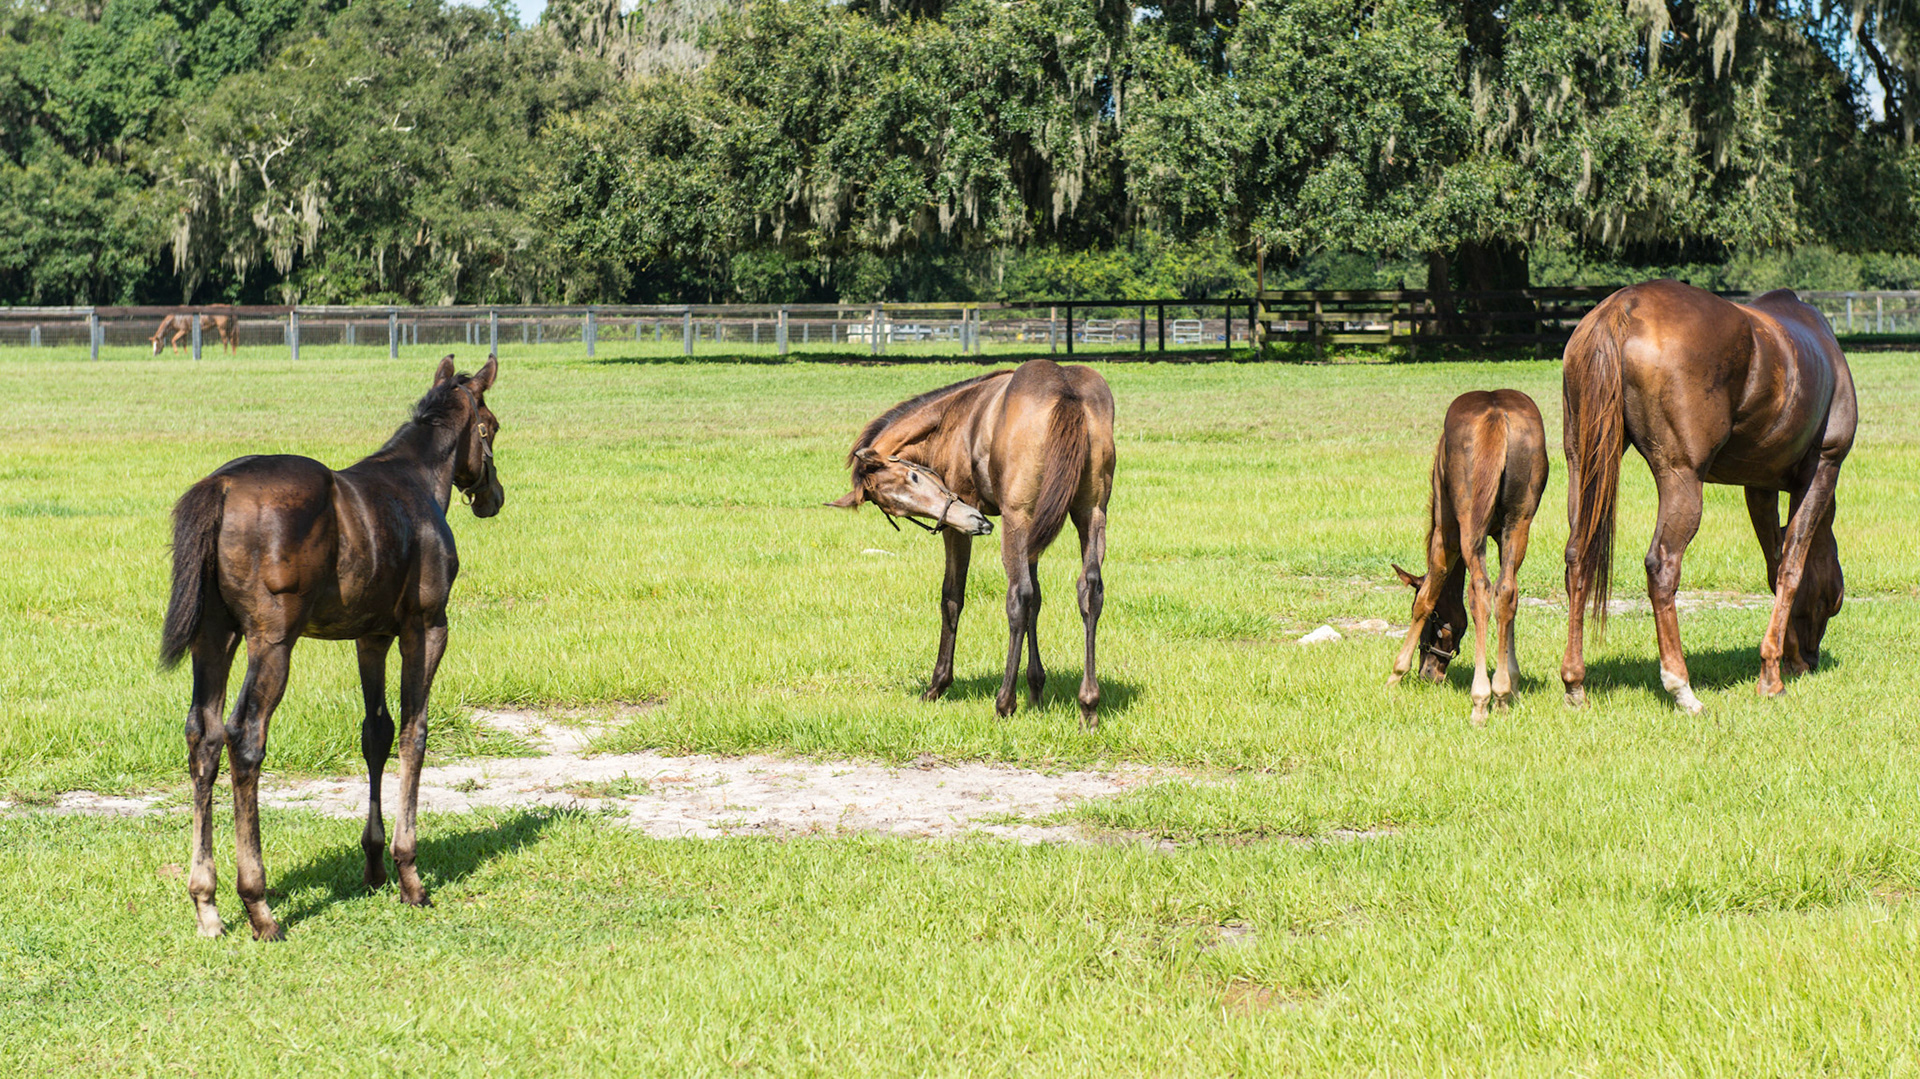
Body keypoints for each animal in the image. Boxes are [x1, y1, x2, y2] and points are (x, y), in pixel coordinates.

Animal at [159, 355, 503, 939]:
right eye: (492, 428)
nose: (493, 497)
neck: (416, 481)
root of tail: (221, 487)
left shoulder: (371, 636)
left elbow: (376, 733)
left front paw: (374, 865)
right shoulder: (426, 627)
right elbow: (414, 733)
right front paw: (409, 874)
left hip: (215, 637)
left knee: (202, 736)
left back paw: (207, 905)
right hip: (271, 641)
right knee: (244, 737)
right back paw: (258, 906)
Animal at [829, 359, 1116, 727]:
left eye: (914, 476)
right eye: (899, 510)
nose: (974, 521)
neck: (953, 418)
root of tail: (1064, 388)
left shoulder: (959, 529)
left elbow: (952, 597)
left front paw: (938, 685)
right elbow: (1038, 598)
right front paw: (1036, 689)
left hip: (1017, 518)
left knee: (1018, 596)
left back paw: (1004, 702)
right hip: (1090, 513)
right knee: (1089, 590)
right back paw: (1088, 704)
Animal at [1387, 390, 1549, 723]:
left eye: (1434, 623)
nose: (1428, 674)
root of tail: (1495, 414)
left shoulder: (1445, 532)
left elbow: (1427, 596)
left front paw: (1396, 674)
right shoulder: (1501, 536)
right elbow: (1509, 603)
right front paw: (1511, 685)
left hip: (1469, 525)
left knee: (1480, 590)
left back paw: (1481, 699)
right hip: (1520, 521)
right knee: (1506, 591)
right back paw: (1499, 694)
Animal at [1561, 280, 1856, 713]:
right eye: (1834, 600)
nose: (1810, 658)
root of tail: (1623, 307)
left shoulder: (1760, 485)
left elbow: (1774, 564)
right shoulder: (1822, 469)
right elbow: (1791, 568)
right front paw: (1771, 678)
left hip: (1583, 466)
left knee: (1578, 557)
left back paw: (1574, 682)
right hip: (1681, 478)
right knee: (1662, 566)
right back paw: (1680, 686)